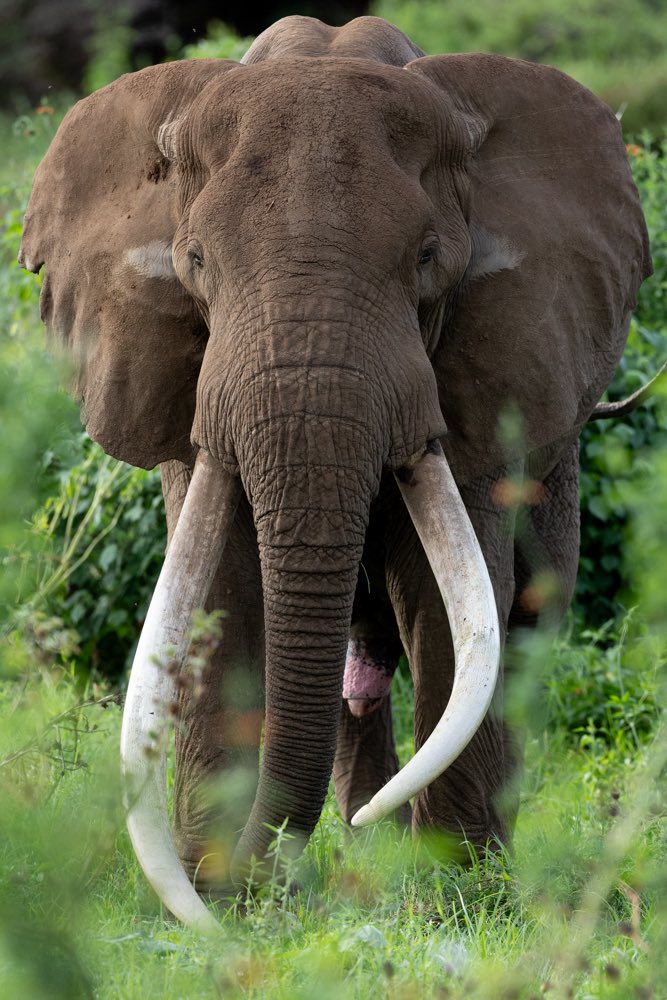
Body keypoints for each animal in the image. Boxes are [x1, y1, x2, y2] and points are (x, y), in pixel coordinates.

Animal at [20, 15, 651, 930]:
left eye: (426, 259)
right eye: (195, 262)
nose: (256, 882)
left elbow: (444, 600)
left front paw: (455, 896)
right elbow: (220, 591)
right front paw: (219, 899)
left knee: (522, 624)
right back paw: (365, 843)